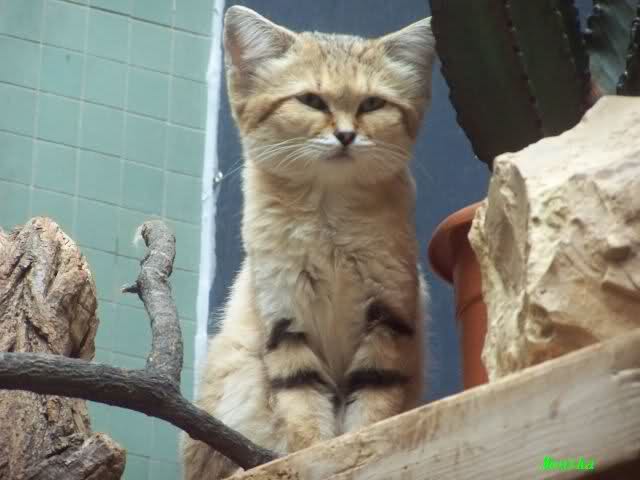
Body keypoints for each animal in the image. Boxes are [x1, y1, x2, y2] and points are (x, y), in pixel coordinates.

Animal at [182, 5, 436, 479]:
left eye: (372, 104)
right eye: (312, 101)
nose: (346, 135)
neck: (328, 217)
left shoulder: (389, 316)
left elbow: (373, 403)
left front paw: (360, 449)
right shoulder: (284, 320)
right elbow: (302, 406)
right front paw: (314, 454)